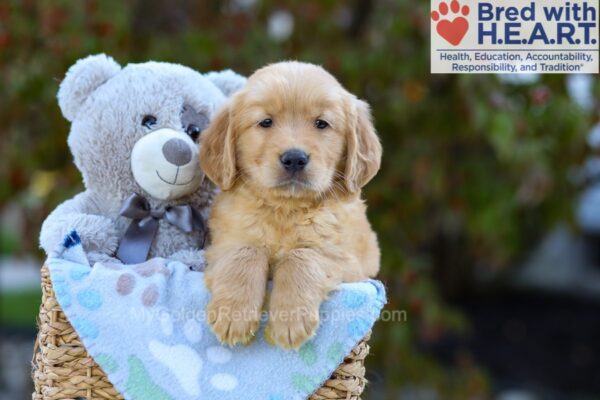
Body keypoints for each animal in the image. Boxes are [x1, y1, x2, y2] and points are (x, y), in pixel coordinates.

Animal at [199, 61, 382, 348]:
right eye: (266, 122)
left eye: (321, 123)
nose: (294, 158)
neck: (286, 209)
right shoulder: (223, 242)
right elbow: (245, 251)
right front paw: (234, 314)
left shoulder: (348, 260)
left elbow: (302, 255)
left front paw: (290, 319)